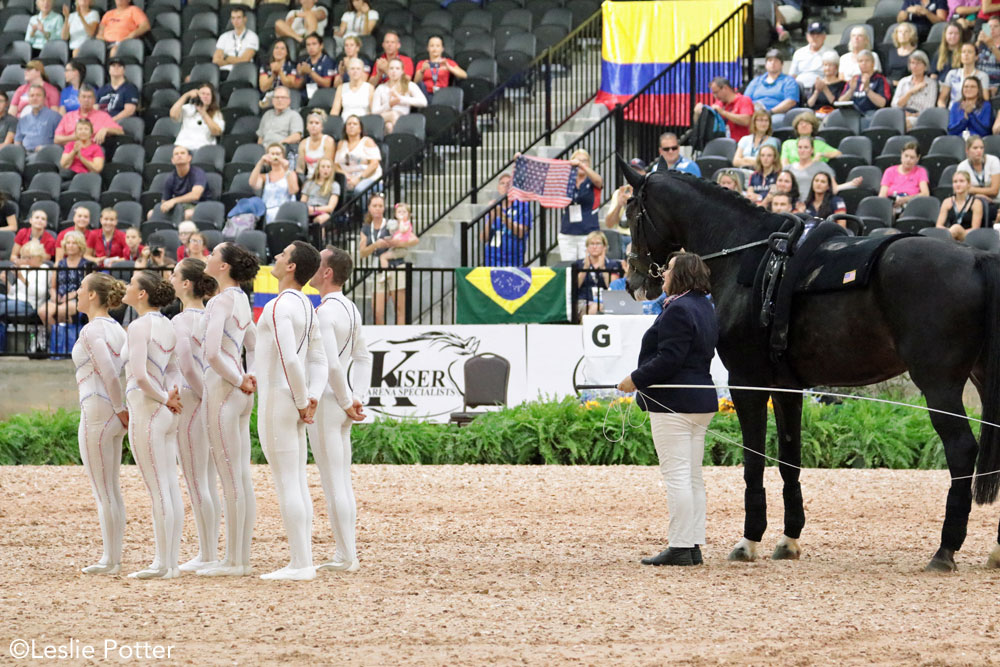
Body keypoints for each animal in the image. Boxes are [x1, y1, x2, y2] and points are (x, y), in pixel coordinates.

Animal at [616, 163, 1000, 576]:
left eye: (632, 213)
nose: (634, 280)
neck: (746, 255)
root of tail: (978, 259)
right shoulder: (788, 387)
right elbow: (790, 460)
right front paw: (789, 539)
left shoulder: (747, 383)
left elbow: (754, 461)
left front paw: (749, 540)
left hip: (939, 385)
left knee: (961, 450)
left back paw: (945, 550)